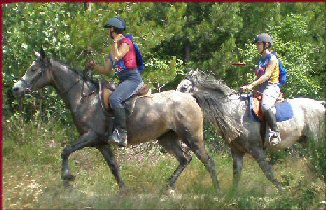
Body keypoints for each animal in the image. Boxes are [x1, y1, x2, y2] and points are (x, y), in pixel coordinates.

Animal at [10, 48, 219, 192]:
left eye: (33, 69)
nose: (16, 89)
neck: (84, 98)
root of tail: (190, 97)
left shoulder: (90, 136)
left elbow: (66, 151)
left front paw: (67, 178)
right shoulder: (101, 143)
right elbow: (114, 167)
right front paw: (123, 190)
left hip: (192, 137)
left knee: (208, 161)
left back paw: (217, 191)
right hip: (167, 138)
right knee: (184, 159)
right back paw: (167, 186)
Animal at [177, 69, 324, 191]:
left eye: (184, 87)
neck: (234, 112)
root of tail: (321, 104)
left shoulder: (257, 150)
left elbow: (269, 173)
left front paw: (283, 192)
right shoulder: (237, 151)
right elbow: (236, 175)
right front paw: (232, 198)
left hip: (316, 141)